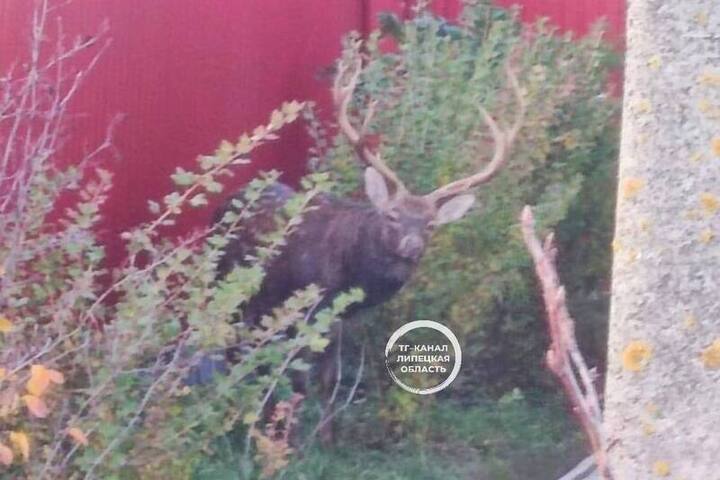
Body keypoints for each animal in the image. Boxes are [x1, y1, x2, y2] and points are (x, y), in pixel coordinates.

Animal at [214, 49, 526, 442]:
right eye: (392, 216)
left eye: (431, 225)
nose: (411, 246)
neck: (349, 273)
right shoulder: (307, 306)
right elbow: (300, 377)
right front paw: (291, 438)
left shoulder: (340, 318)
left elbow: (330, 378)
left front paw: (327, 438)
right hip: (230, 282)